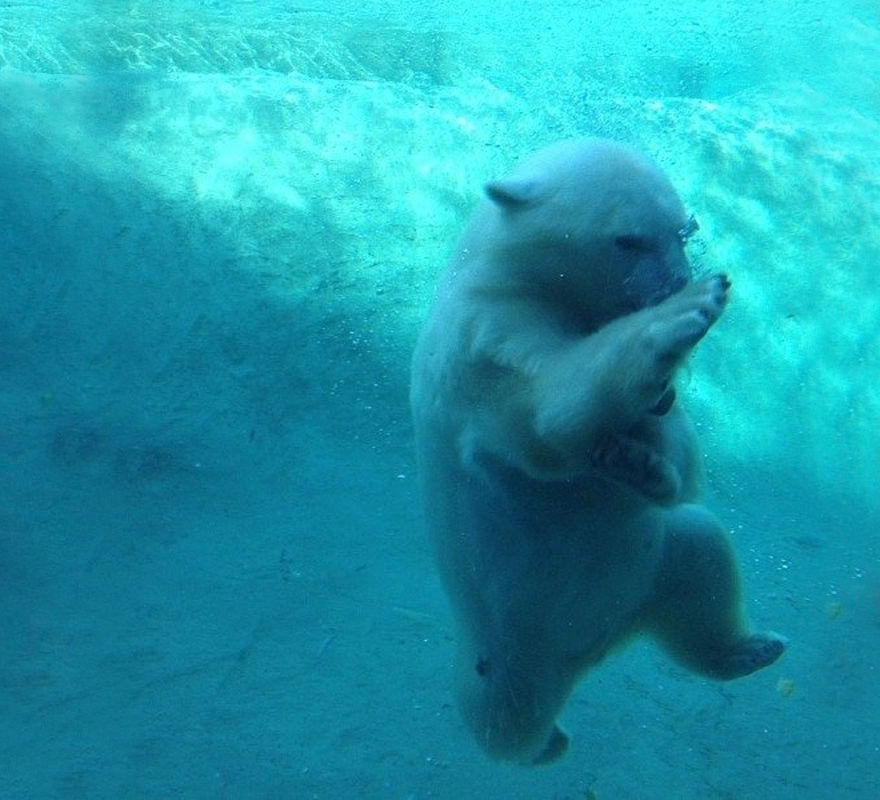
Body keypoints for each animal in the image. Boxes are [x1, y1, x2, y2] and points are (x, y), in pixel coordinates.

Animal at [410, 138, 788, 764]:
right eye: (627, 239)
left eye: (683, 231)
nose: (674, 282)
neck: (516, 271)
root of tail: (589, 653)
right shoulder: (490, 333)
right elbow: (553, 405)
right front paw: (692, 308)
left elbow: (684, 470)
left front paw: (643, 461)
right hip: (506, 647)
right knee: (498, 719)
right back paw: (540, 741)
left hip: (649, 562)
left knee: (702, 558)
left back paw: (750, 650)